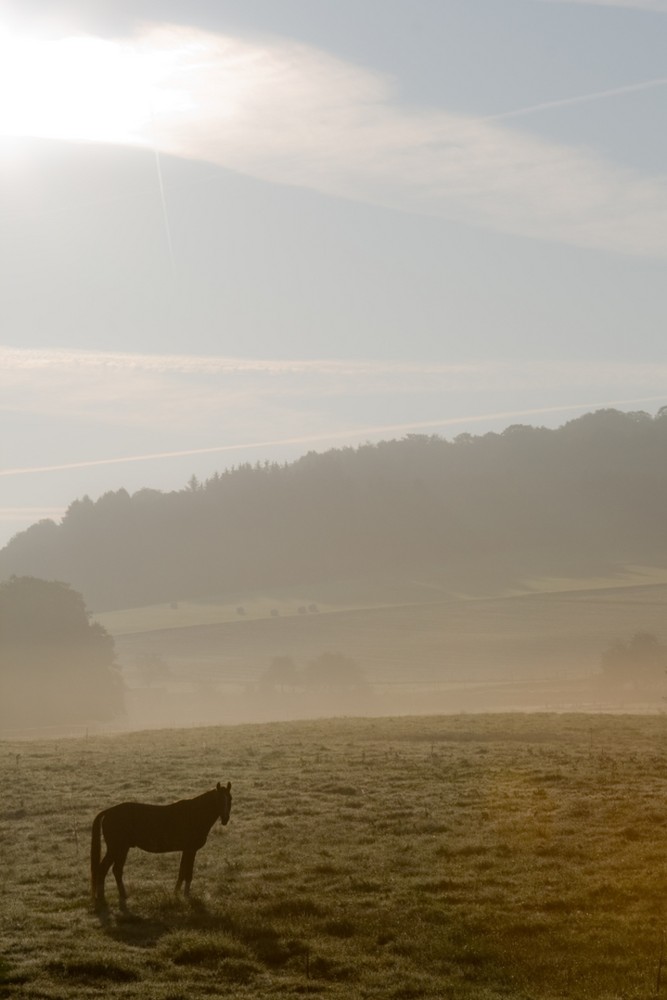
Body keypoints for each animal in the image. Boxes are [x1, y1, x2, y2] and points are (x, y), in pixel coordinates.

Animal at [91, 780, 232, 908]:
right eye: (219, 800)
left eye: (230, 799)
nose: (225, 819)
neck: (194, 814)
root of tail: (108, 812)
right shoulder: (191, 850)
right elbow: (188, 873)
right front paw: (186, 896)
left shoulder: (186, 850)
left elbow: (182, 872)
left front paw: (176, 893)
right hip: (115, 848)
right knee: (103, 869)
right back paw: (102, 898)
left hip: (122, 849)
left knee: (116, 870)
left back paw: (122, 895)